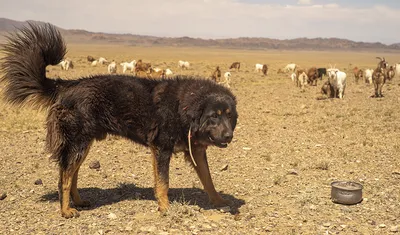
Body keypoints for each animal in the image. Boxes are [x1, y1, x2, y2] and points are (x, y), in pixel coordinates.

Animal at [0, 23, 238, 218]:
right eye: (213, 116)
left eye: (229, 116)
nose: (229, 136)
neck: (184, 107)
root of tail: (69, 85)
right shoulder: (162, 148)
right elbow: (164, 182)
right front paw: (164, 207)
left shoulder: (195, 150)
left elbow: (208, 179)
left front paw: (218, 201)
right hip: (78, 143)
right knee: (65, 177)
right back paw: (66, 210)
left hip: (83, 144)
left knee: (72, 173)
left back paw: (78, 202)